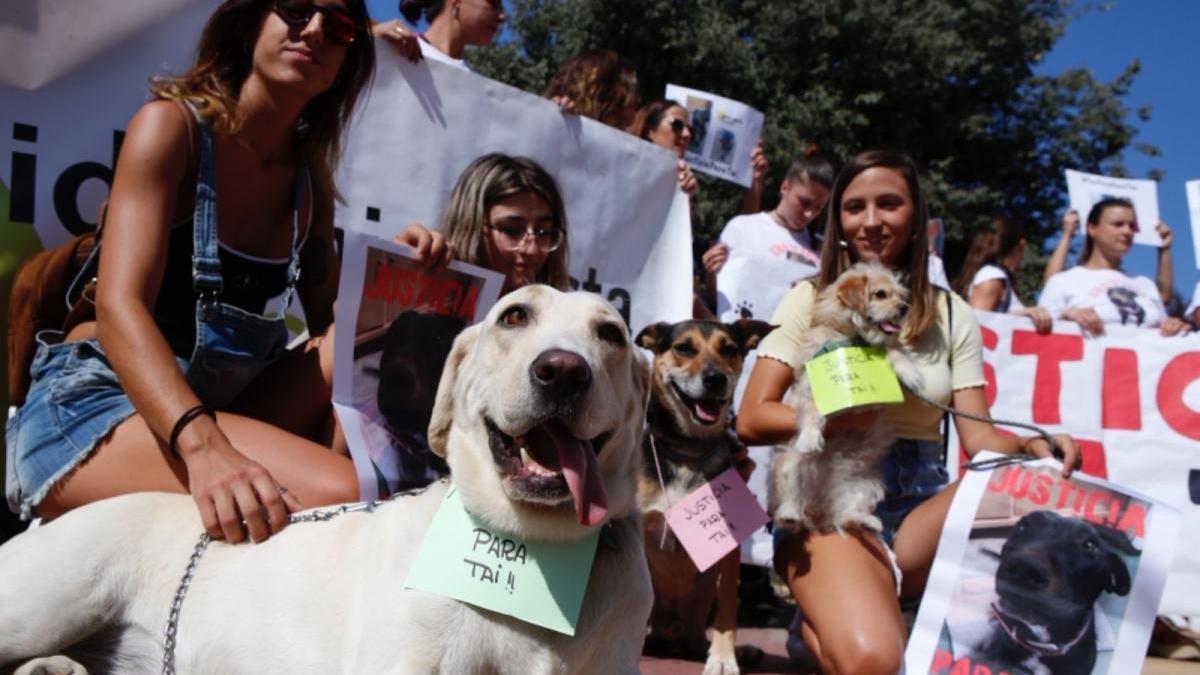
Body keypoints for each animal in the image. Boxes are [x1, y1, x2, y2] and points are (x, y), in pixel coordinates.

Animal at [633, 317, 772, 672]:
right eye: (684, 348)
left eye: (729, 349)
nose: (715, 379)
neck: (688, 450)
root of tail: (671, 633)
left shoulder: (730, 551)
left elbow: (727, 614)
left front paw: (723, 658)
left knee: (697, 638)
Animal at [763, 260, 921, 533]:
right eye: (880, 294)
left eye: (901, 296)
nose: (904, 308)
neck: (853, 339)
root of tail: (820, 504)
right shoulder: (811, 385)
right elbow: (814, 410)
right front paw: (810, 437)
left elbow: (895, 350)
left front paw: (910, 373)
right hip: (789, 466)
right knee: (791, 499)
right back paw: (791, 514)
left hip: (865, 484)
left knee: (846, 515)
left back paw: (866, 521)